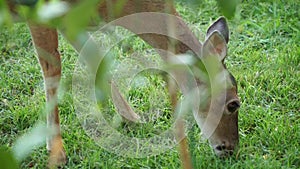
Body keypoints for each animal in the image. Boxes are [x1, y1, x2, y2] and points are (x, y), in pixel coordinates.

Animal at [5, 0, 240, 167]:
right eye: (234, 104)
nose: (230, 149)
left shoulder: (68, 19)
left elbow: (95, 58)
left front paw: (132, 119)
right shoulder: (38, 10)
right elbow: (52, 70)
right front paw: (57, 153)